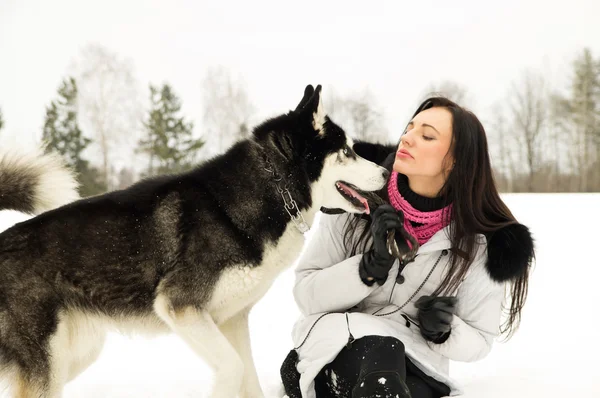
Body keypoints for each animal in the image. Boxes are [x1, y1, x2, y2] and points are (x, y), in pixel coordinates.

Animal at [0, 85, 386, 396]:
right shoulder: (181, 307)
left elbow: (248, 378)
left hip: (75, 355)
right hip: (49, 366)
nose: (386, 172)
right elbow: (233, 369)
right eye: (348, 151)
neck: (271, 189)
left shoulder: (231, 321)